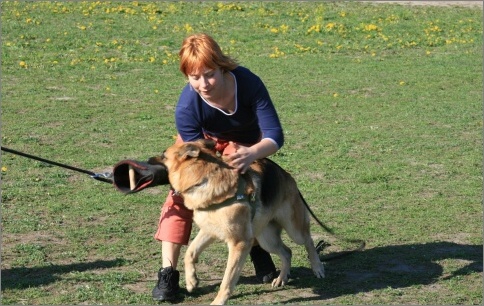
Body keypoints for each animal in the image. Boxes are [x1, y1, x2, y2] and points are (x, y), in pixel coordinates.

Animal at [150, 140, 326, 304]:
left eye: (164, 155)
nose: (148, 159)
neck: (204, 179)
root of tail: (286, 175)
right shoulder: (209, 231)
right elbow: (190, 252)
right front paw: (191, 281)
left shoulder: (239, 243)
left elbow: (227, 279)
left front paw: (218, 301)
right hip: (267, 240)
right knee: (287, 252)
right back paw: (282, 278)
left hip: (293, 229)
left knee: (308, 241)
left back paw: (317, 267)